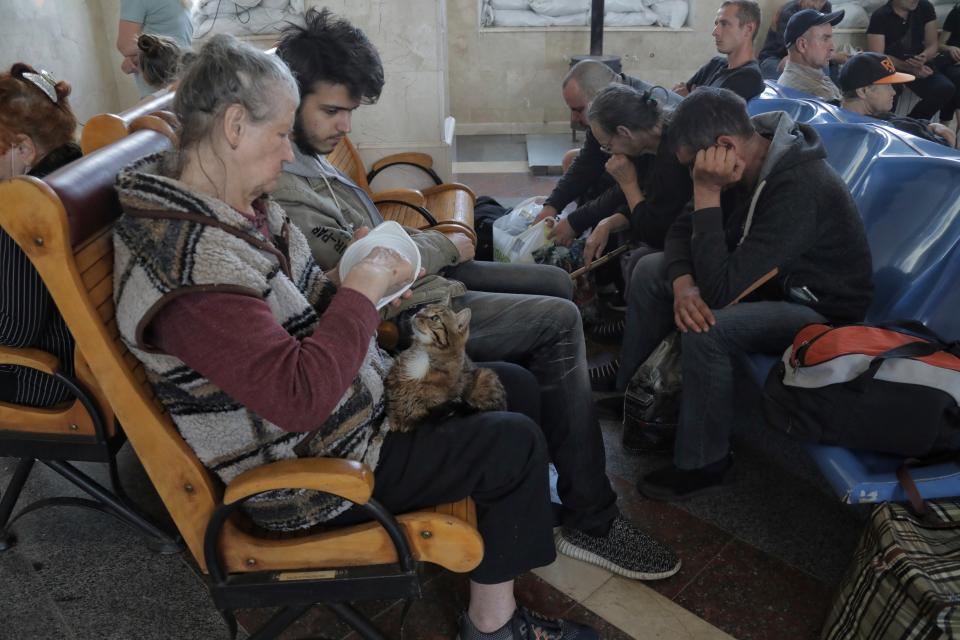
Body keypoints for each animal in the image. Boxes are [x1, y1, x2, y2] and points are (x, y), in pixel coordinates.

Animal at [386, 302, 510, 432]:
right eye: (424, 308)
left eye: (435, 318)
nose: (418, 314)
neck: (424, 350)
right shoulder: (395, 380)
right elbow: (396, 399)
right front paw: (396, 418)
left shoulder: (434, 398)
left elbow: (418, 404)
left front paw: (408, 421)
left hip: (486, 376)